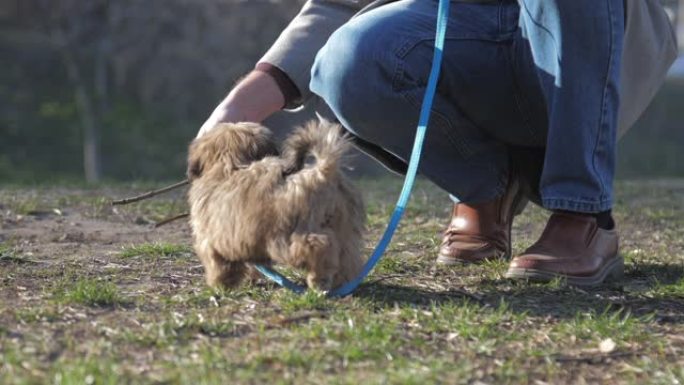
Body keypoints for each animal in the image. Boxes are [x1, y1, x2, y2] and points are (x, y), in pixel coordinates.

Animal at [187, 121, 366, 290]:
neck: (229, 165)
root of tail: (322, 172)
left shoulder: (211, 240)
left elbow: (218, 265)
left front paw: (219, 285)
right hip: (344, 227)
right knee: (347, 255)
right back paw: (342, 282)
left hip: (287, 235)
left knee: (318, 245)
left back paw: (318, 280)